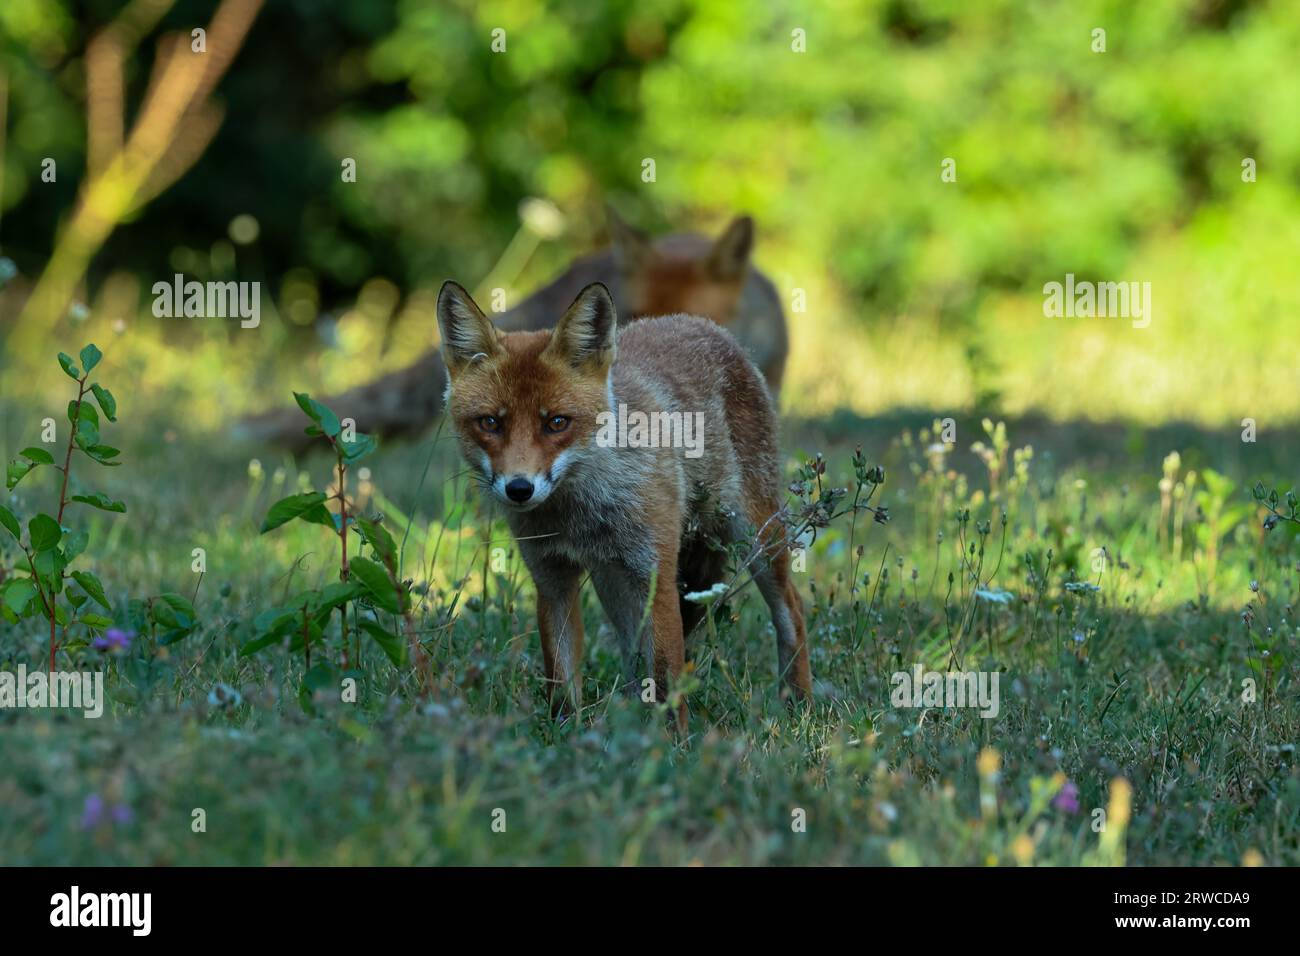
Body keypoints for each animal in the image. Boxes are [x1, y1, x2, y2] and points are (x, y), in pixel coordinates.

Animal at [435, 279, 810, 731]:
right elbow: (561, 682)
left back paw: (799, 705)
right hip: (613, 583)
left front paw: (673, 743)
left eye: (556, 423)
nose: (519, 489)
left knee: (793, 610)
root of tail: (701, 323)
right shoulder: (552, 579)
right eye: (490, 423)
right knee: (633, 660)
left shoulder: (656, 574)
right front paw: (569, 739)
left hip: (755, 537)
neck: (579, 512)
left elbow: (667, 677)